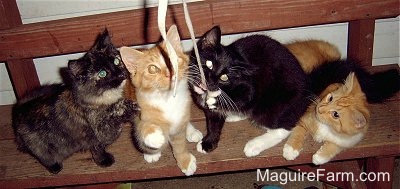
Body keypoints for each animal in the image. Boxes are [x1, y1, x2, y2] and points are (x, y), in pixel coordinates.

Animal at [12, 29, 139, 174]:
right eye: (102, 73)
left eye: (117, 61)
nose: (121, 74)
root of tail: (20, 110)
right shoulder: (101, 131)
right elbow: (99, 147)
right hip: (40, 147)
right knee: (43, 157)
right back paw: (54, 167)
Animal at [118, 24, 200, 176]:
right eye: (152, 69)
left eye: (173, 59)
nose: (171, 73)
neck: (168, 100)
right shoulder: (140, 110)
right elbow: (142, 127)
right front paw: (154, 140)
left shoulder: (180, 118)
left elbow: (179, 144)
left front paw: (185, 161)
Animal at [188, 26, 312, 157]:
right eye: (209, 63)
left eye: (224, 77)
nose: (209, 81)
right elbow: (213, 123)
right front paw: (209, 142)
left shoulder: (249, 86)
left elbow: (245, 98)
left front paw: (216, 101)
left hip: (274, 105)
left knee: (283, 127)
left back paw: (255, 145)